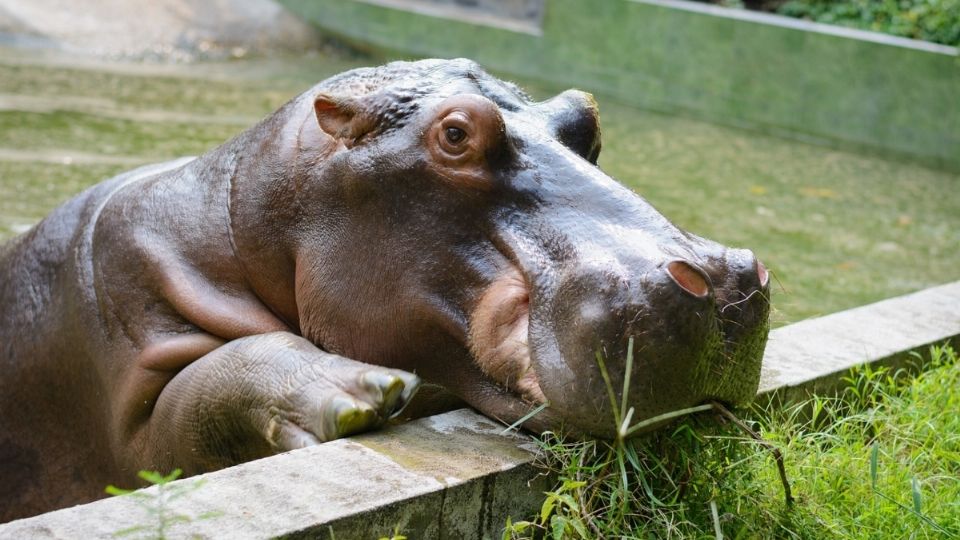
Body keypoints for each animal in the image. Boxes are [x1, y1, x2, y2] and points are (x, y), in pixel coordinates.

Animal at [0, 58, 768, 520]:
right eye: (455, 133)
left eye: (587, 115)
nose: (721, 281)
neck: (248, 220)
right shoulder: (129, 366)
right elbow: (196, 398)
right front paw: (364, 394)